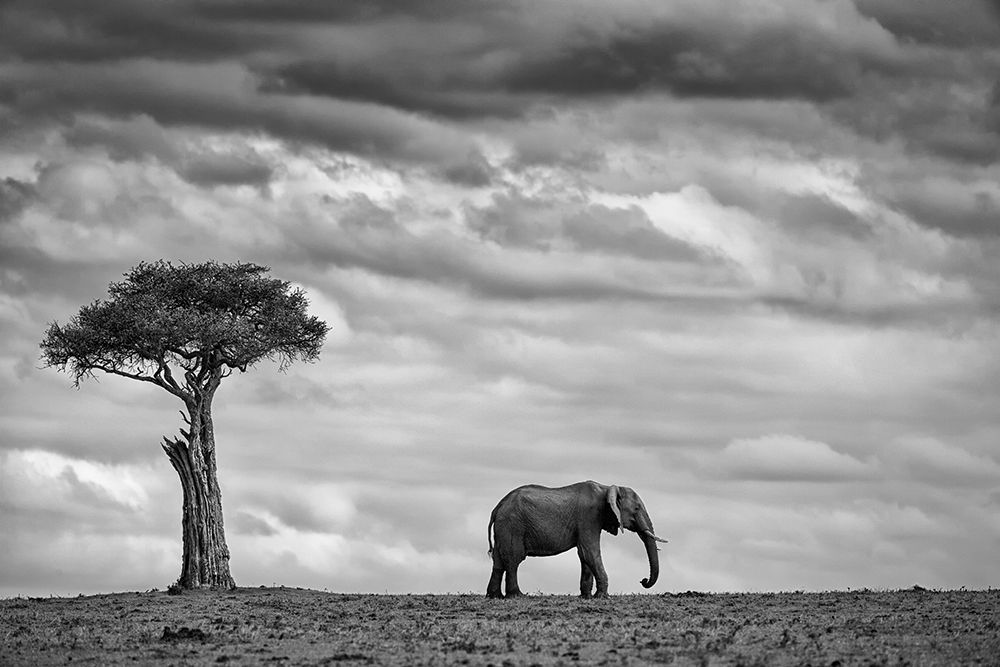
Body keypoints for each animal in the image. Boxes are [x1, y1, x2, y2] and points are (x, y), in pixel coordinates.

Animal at [486, 481, 667, 599]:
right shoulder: (589, 517)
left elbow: (584, 555)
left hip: (504, 528)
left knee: (498, 561)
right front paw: (602, 597)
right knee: (513, 559)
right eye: (636, 508)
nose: (643, 580)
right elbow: (589, 552)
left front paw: (586, 597)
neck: (606, 488)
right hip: (512, 525)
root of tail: (497, 507)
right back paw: (517, 596)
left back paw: (494, 596)